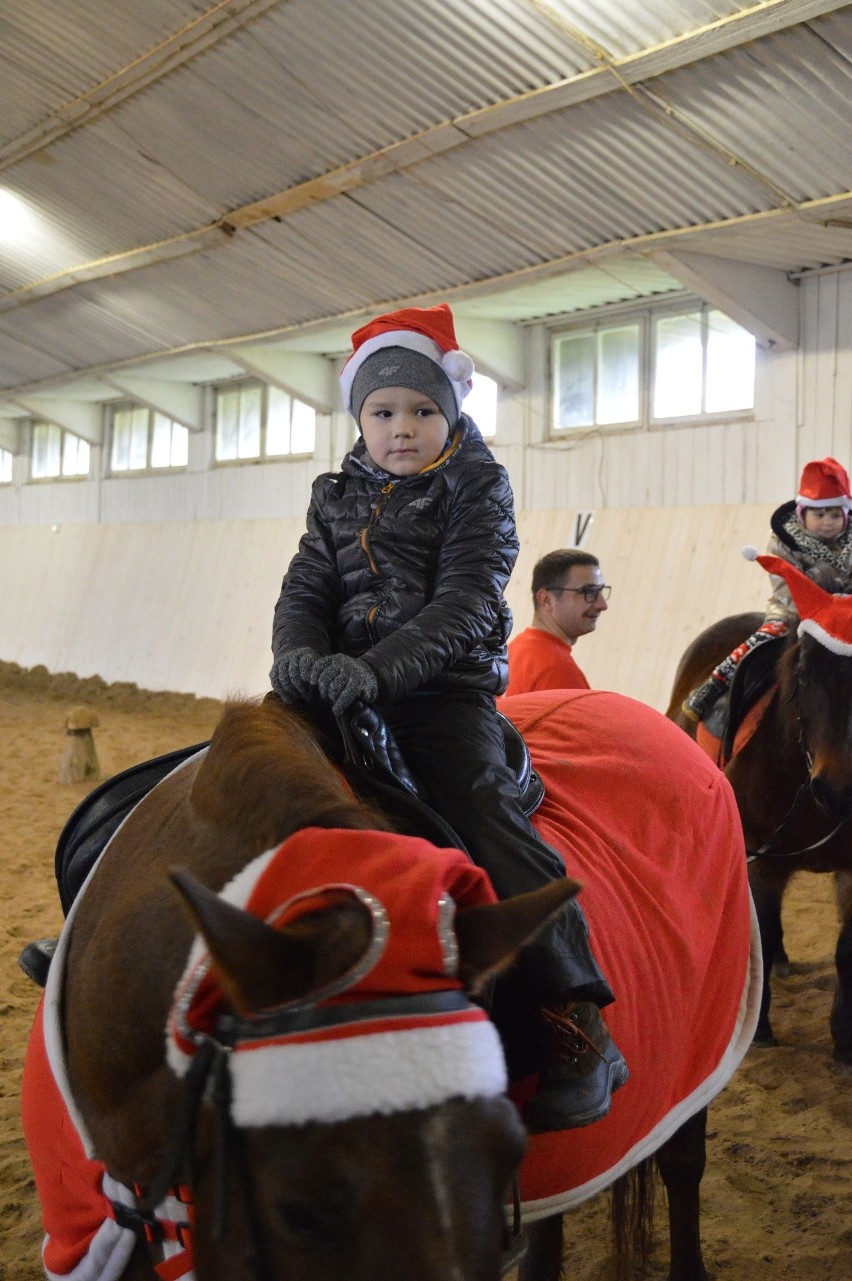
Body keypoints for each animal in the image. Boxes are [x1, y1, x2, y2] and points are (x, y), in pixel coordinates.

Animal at [666, 591, 845, 1070]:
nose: (836, 788)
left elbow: (846, 949)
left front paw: (843, 1040)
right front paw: (760, 1028)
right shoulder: (760, 856)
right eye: (802, 675)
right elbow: (760, 927)